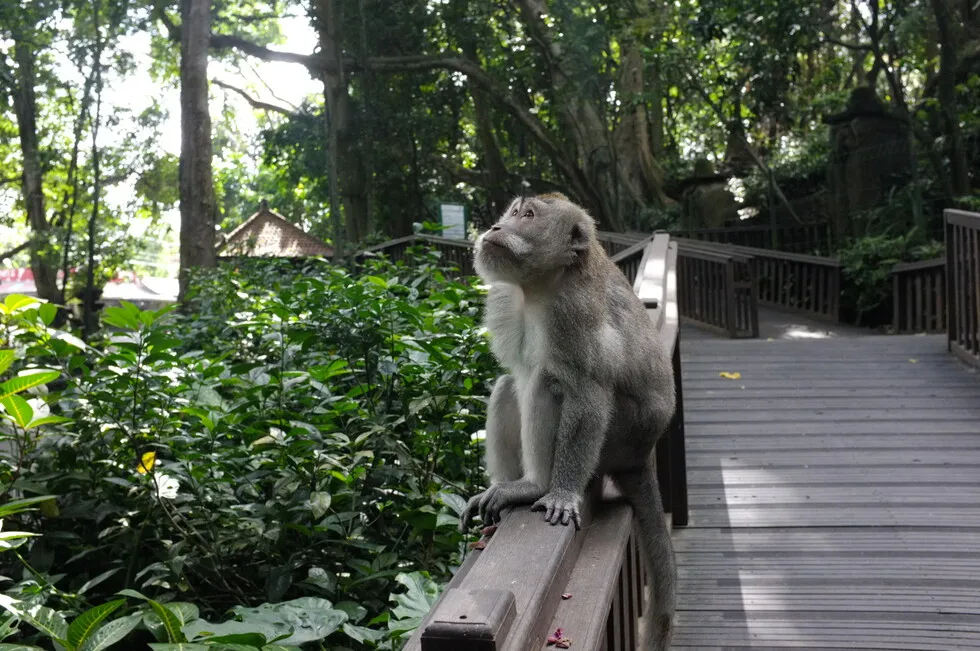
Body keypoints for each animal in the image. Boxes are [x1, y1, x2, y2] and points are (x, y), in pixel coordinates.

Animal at [459, 192, 678, 651]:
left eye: (527, 216)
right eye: (513, 212)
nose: (495, 227)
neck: (537, 287)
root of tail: (644, 452)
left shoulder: (572, 313)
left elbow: (587, 391)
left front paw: (559, 492)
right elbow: (515, 375)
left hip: (620, 436)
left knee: (548, 383)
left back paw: (535, 484)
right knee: (512, 384)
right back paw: (503, 491)